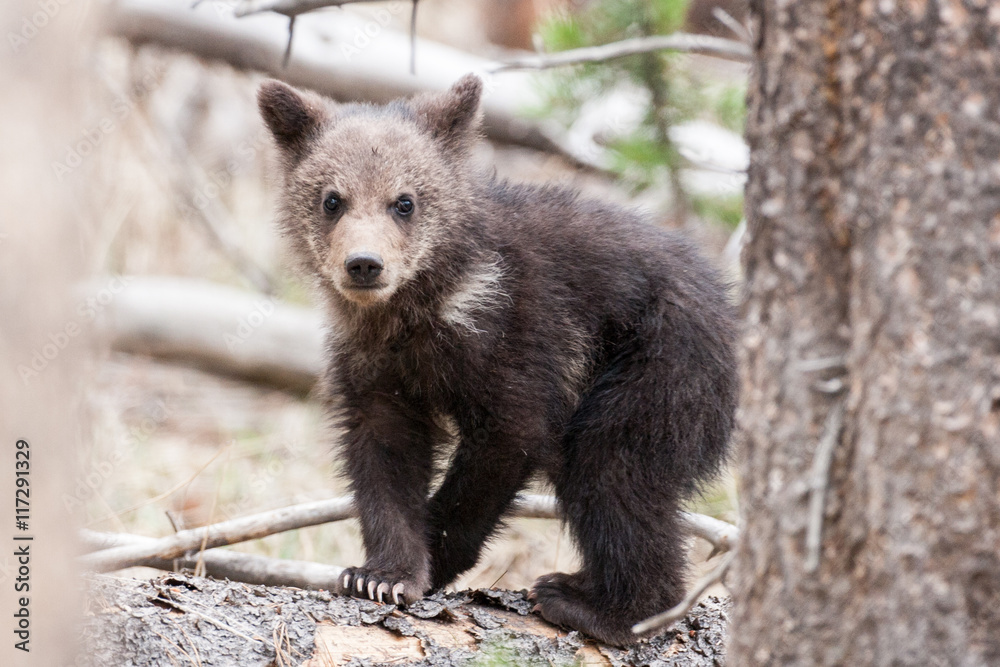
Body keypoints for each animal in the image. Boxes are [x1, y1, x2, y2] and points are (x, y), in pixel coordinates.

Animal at [257, 74, 738, 646]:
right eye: (332, 199)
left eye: (404, 201)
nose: (365, 264)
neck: (429, 306)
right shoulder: (372, 362)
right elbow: (383, 450)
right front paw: (380, 575)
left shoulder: (518, 332)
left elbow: (508, 436)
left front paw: (435, 553)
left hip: (659, 363)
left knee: (613, 466)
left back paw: (598, 606)